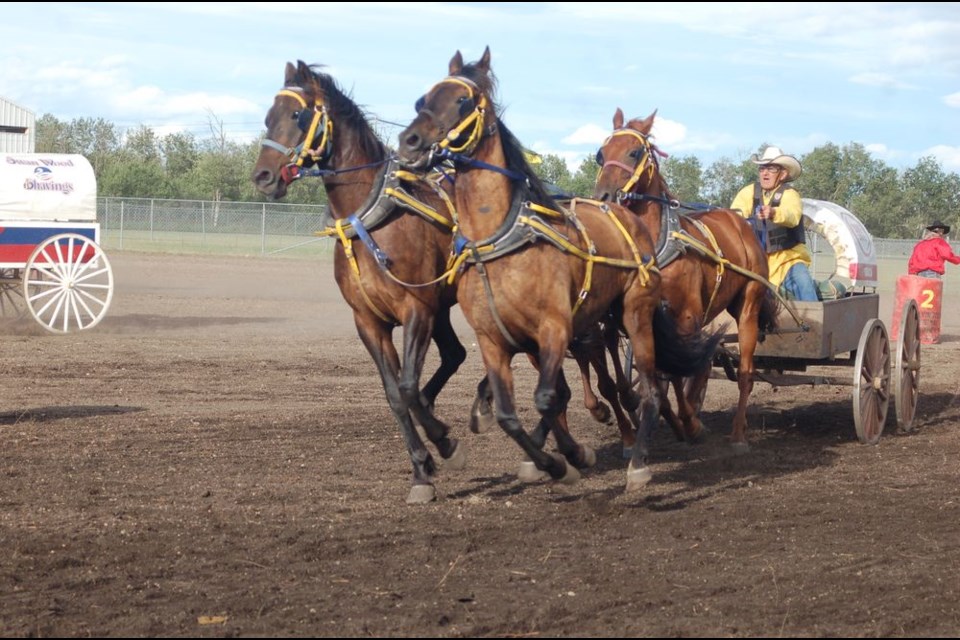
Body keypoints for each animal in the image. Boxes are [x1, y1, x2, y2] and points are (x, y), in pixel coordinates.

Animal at [251, 60, 472, 502]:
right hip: (442, 309)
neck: (369, 221)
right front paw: (421, 469)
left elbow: (407, 387)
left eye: (297, 115)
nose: (263, 175)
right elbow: (395, 394)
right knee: (455, 355)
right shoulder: (369, 320)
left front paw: (445, 443)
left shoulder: (416, 310)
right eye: (268, 116)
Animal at [394, 47, 716, 490]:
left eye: (462, 100)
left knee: (651, 389)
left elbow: (548, 398)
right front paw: (555, 460)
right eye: (421, 100)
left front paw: (570, 456)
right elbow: (510, 415)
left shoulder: (555, 329)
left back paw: (639, 461)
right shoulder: (495, 341)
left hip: (635, 315)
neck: (500, 245)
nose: (409, 141)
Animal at [592, 109, 780, 450]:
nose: (604, 197)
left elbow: (677, 369)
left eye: (634, 152)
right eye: (601, 154)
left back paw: (738, 432)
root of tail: (740, 222)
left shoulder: (687, 315)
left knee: (745, 372)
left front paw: (690, 424)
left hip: (748, 306)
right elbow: (663, 369)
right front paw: (673, 419)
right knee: (701, 361)